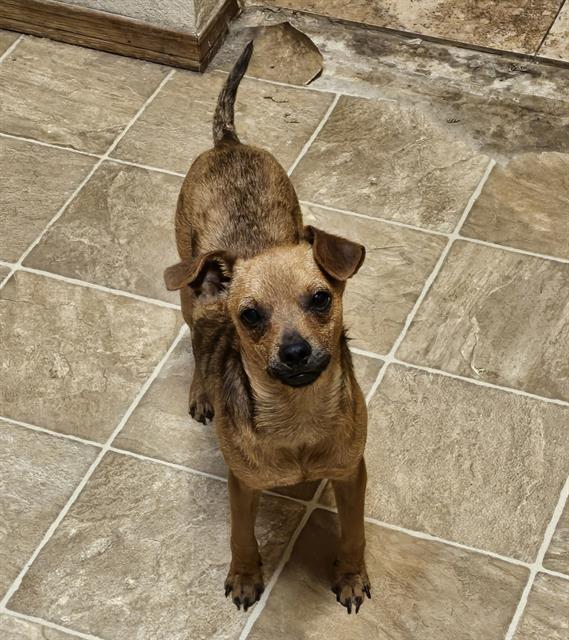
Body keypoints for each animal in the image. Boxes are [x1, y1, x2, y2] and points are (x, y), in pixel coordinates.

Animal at [164, 42, 370, 614]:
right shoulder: (243, 484)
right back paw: (201, 393)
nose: (295, 351)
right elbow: (241, 535)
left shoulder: (352, 474)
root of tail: (228, 144)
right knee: (197, 344)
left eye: (321, 299)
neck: (297, 418)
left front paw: (350, 575)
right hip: (190, 291)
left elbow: (354, 534)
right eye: (251, 315)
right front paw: (244, 575)